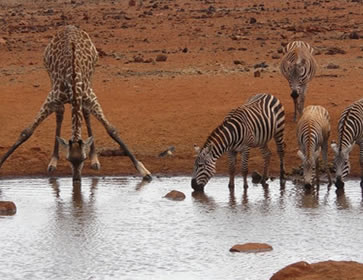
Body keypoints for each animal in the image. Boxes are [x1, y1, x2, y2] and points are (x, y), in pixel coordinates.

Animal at [0, 25, 152, 184]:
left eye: (83, 159)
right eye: (68, 159)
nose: (77, 179)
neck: (72, 80)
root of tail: (70, 26)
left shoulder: (90, 97)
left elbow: (112, 130)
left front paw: (144, 171)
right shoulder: (52, 98)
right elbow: (26, 132)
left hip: (91, 78)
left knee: (85, 113)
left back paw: (95, 159)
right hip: (50, 76)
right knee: (60, 113)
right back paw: (53, 161)